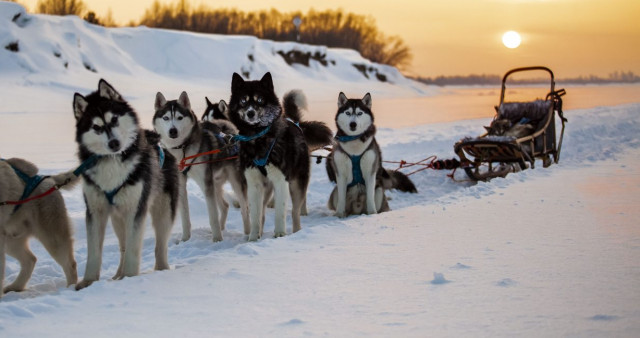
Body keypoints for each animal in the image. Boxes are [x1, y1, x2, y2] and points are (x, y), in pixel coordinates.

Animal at [1, 158, 79, 296]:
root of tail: (46, 178)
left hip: (52, 238)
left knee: (70, 265)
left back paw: (70, 289)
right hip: (10, 241)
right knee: (30, 260)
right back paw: (15, 287)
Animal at [72, 78, 180, 288]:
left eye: (114, 119)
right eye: (96, 127)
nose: (114, 143)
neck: (112, 161)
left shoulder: (136, 210)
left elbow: (133, 249)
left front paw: (130, 279)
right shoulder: (95, 211)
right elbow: (94, 253)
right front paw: (88, 281)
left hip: (163, 211)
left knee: (160, 246)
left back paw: (161, 269)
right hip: (117, 218)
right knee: (123, 247)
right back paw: (118, 275)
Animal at [153, 91, 250, 242]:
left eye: (180, 117)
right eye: (166, 118)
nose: (173, 131)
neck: (183, 149)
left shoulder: (206, 183)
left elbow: (213, 215)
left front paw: (217, 239)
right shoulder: (182, 183)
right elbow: (185, 216)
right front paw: (185, 239)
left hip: (235, 181)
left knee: (245, 208)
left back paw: (248, 233)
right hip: (215, 183)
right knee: (225, 206)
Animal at [228, 72, 332, 240]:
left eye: (260, 99)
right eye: (243, 100)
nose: (250, 113)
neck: (258, 139)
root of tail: (296, 124)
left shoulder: (281, 181)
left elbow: (280, 211)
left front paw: (280, 234)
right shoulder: (254, 184)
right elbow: (255, 215)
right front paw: (253, 237)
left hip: (296, 184)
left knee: (295, 212)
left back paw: (296, 232)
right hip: (266, 189)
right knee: (263, 213)